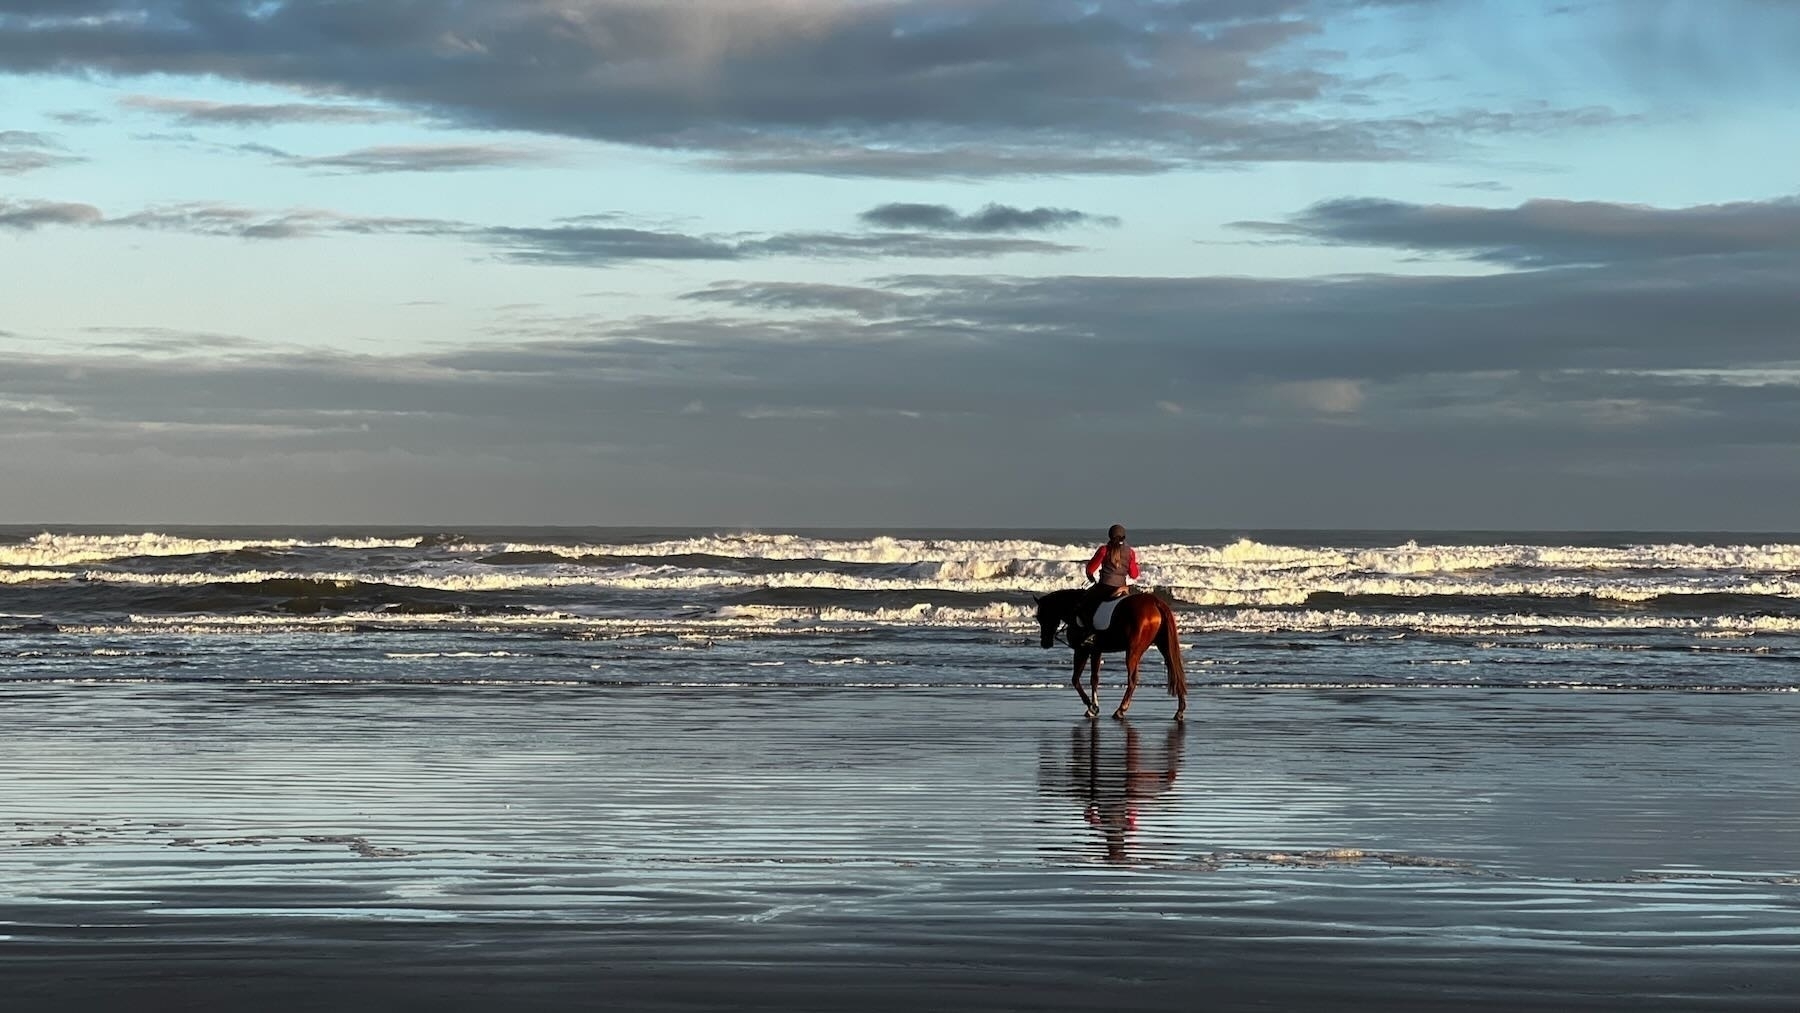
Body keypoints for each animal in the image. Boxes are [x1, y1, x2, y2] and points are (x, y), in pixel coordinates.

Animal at [1036, 590, 1188, 726]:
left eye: (1042, 616)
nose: (1045, 643)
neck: (1074, 607)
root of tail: (1156, 602)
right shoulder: (1096, 651)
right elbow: (1094, 679)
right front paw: (1093, 707)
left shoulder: (1082, 650)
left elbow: (1075, 680)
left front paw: (1091, 706)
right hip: (1163, 646)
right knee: (1176, 673)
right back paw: (1179, 711)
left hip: (1133, 651)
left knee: (1133, 680)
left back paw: (1120, 710)